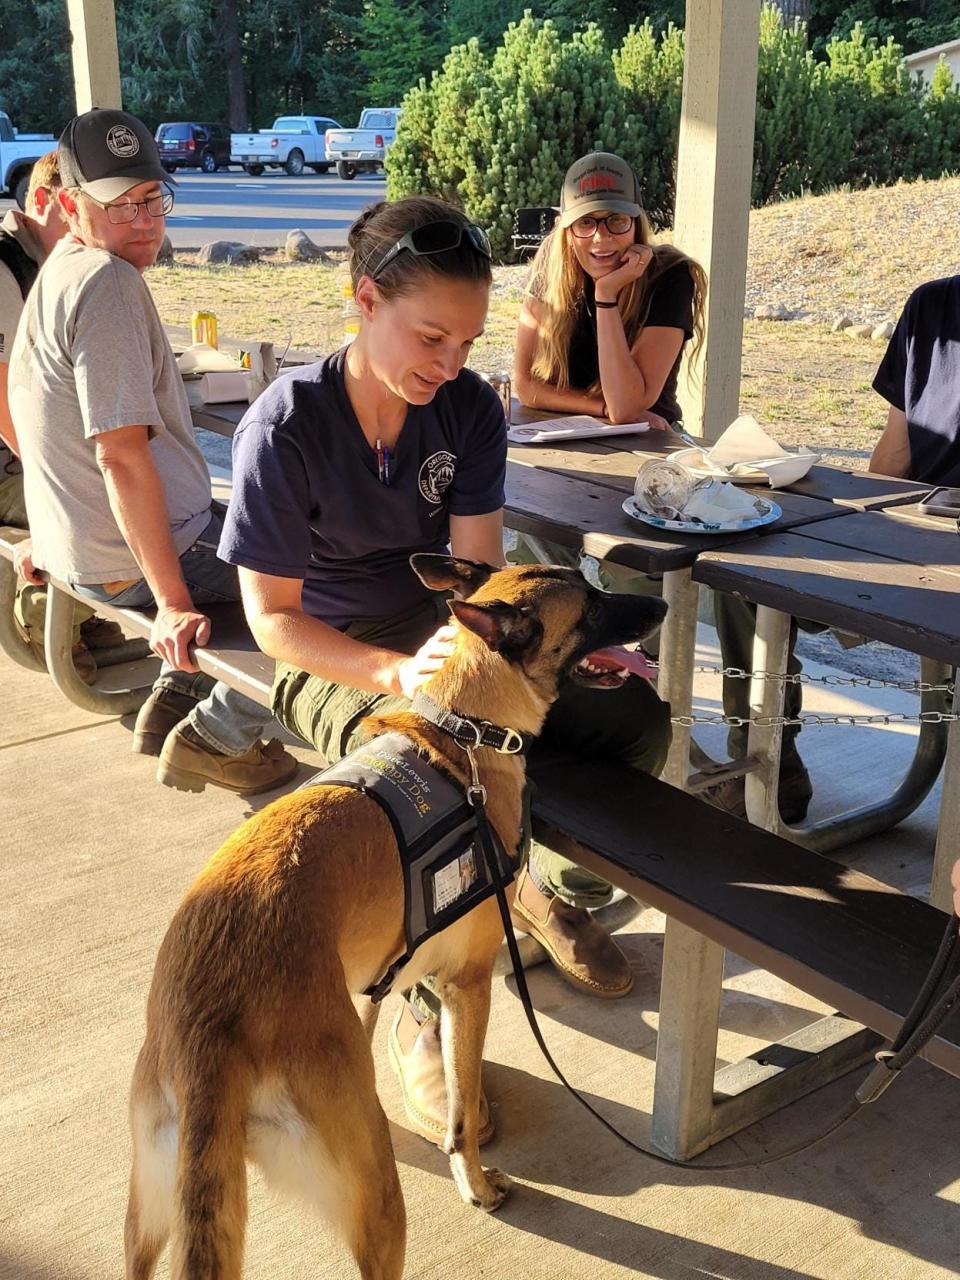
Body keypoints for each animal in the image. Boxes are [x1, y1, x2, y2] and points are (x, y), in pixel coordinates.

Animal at [124, 558, 665, 1280]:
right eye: (594, 606)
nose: (661, 606)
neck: (463, 729)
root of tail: (208, 1036)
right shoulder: (468, 986)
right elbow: (462, 1115)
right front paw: (476, 1182)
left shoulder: (375, 983)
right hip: (380, 1205)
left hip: (150, 1221)